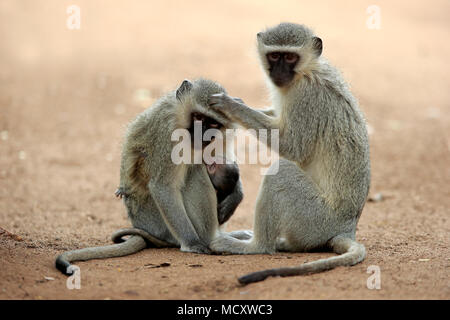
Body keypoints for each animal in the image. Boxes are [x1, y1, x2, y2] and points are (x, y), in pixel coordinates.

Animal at [55, 78, 250, 276]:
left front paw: (237, 195)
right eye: (199, 117)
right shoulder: (167, 132)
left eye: (214, 124)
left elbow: (225, 161)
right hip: (160, 224)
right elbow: (163, 187)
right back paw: (212, 240)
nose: (203, 135)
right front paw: (192, 243)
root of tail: (142, 226)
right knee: (195, 171)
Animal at [207, 22, 370, 284]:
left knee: (281, 172)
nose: (280, 72)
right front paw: (238, 102)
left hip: (313, 219)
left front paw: (232, 106)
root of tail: (346, 228)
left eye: (290, 57)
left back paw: (255, 246)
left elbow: (293, 146)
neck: (306, 72)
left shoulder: (306, 96)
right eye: (275, 56)